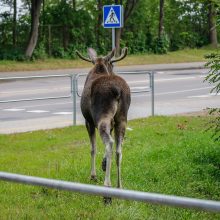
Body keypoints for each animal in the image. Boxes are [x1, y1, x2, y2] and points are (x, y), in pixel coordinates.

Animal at [75, 48, 131, 203]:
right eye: (113, 64)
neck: (99, 66)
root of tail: (118, 91)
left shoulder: (88, 121)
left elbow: (92, 148)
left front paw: (93, 175)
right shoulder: (112, 124)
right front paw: (104, 164)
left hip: (102, 117)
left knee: (109, 143)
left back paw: (107, 190)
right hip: (122, 119)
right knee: (119, 149)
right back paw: (119, 186)